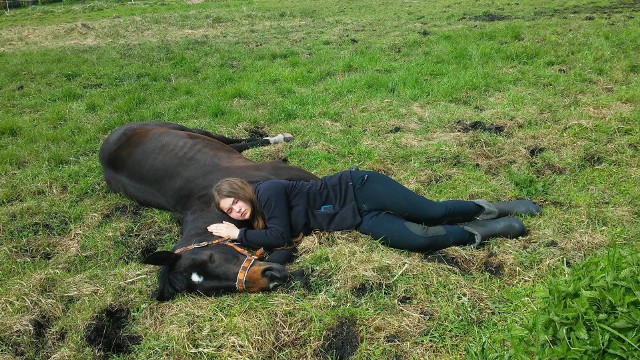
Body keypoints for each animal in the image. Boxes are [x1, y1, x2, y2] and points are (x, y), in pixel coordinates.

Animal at [99, 122, 318, 300]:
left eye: (211, 257)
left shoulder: (282, 171)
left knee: (233, 141)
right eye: (215, 290)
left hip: (187, 129)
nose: (272, 278)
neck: (206, 200)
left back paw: (279, 138)